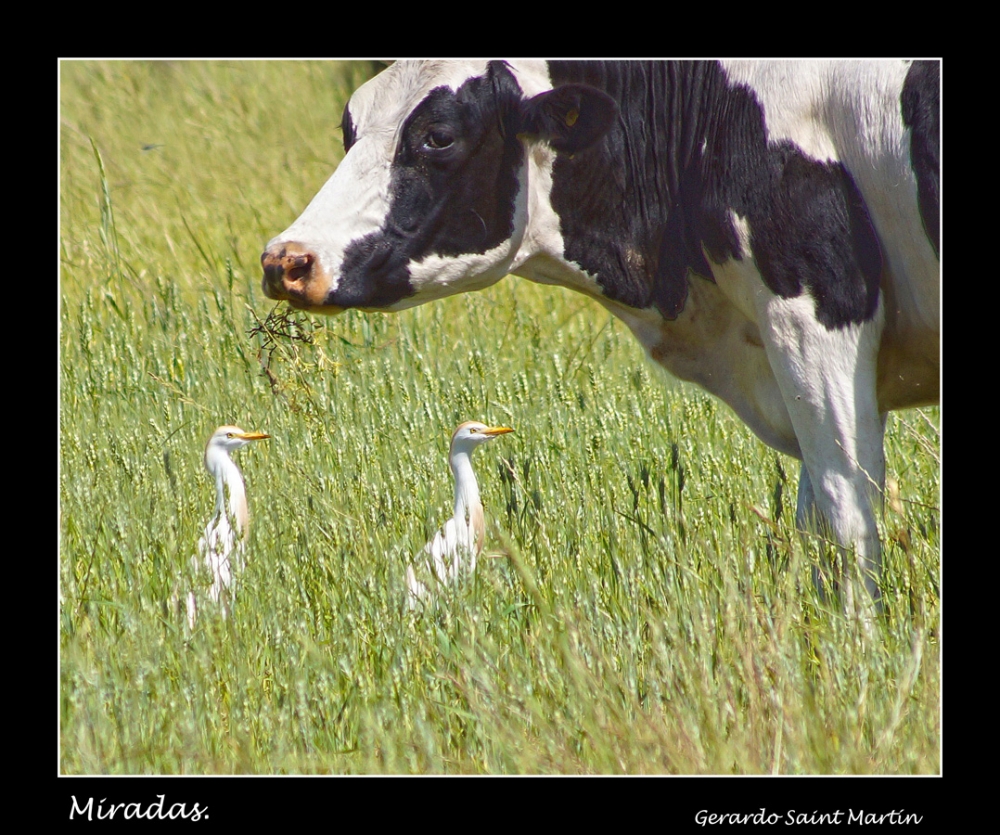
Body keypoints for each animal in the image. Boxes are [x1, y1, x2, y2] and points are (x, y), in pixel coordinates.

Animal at [262, 60, 940, 612]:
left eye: (438, 136)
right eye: (348, 130)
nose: (285, 260)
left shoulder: (815, 316)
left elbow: (848, 516)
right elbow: (817, 525)